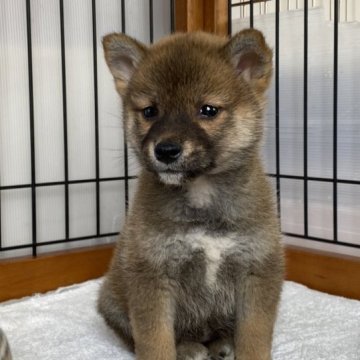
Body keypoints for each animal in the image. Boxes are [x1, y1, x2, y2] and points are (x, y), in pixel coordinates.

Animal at [98, 28, 284, 360]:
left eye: (207, 110)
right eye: (150, 111)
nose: (165, 150)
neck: (201, 194)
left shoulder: (258, 268)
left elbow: (254, 336)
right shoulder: (152, 273)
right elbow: (155, 342)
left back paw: (222, 344)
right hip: (112, 302)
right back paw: (188, 348)